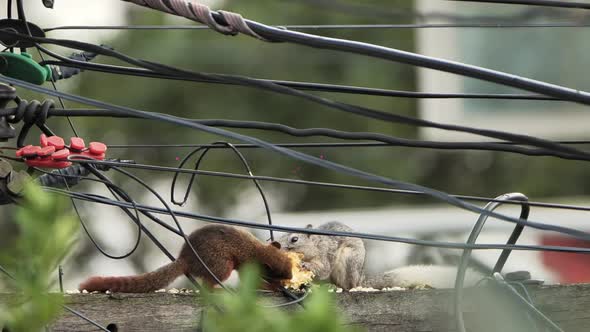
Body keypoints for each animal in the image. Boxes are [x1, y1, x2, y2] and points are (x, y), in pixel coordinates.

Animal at [81, 224, 296, 292]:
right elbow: (251, 282)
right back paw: (217, 290)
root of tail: (186, 259)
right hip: (221, 265)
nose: (290, 277)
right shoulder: (247, 267)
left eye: (290, 264)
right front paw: (275, 286)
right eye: (278, 272)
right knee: (208, 285)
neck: (258, 250)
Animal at [278, 222, 486, 290]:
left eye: (294, 239)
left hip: (349, 261)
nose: (279, 249)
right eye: (277, 240)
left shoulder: (325, 252)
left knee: (348, 286)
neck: (314, 245)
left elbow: (323, 269)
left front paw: (306, 267)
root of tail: (360, 279)